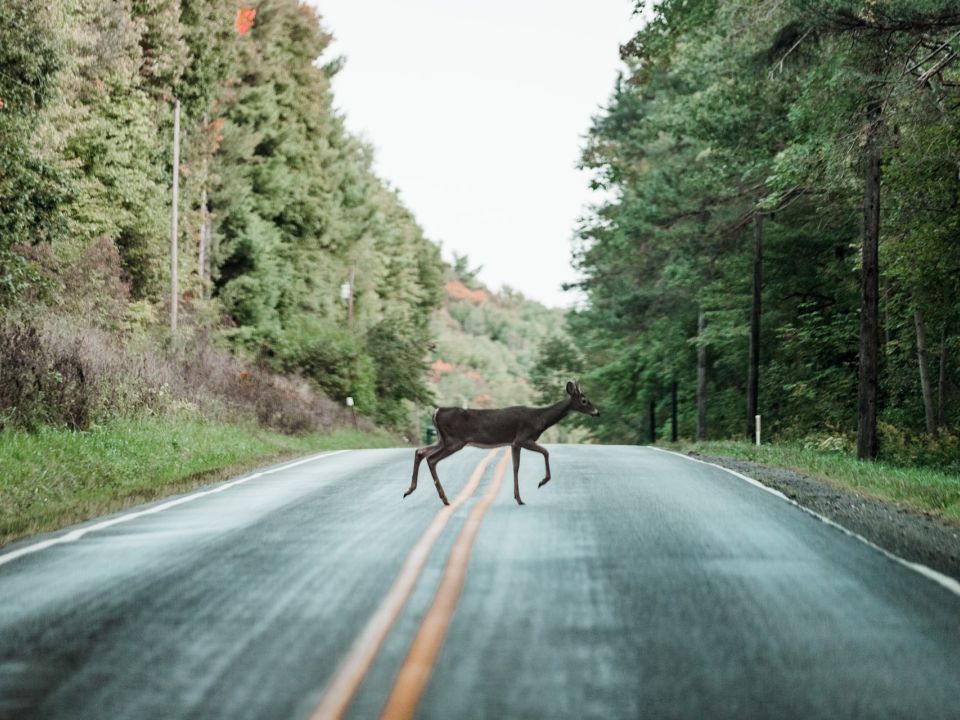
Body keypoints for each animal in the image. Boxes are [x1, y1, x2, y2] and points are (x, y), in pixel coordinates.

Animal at [404, 382, 600, 506]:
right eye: (584, 400)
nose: (597, 412)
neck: (540, 419)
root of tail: (436, 412)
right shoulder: (523, 437)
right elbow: (546, 452)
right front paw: (541, 482)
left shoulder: (514, 443)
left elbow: (515, 467)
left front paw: (518, 498)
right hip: (455, 440)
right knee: (431, 459)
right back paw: (444, 499)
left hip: (442, 439)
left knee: (420, 451)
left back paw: (410, 490)